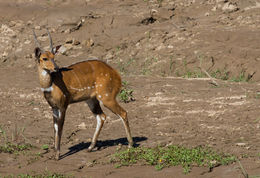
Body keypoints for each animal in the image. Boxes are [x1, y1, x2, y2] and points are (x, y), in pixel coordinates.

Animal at [32, 29, 134, 160]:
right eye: (44, 58)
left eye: (54, 57)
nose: (56, 68)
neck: (50, 85)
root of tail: (117, 74)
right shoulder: (53, 107)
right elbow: (55, 127)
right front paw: (55, 153)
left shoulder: (63, 105)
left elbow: (60, 127)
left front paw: (58, 155)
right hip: (91, 99)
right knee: (102, 116)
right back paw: (90, 147)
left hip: (107, 97)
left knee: (123, 113)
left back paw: (130, 145)